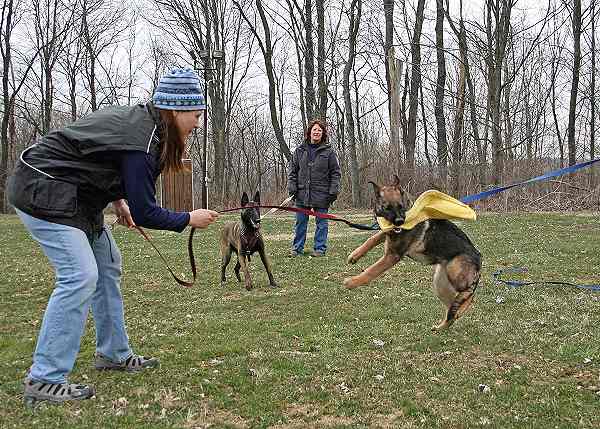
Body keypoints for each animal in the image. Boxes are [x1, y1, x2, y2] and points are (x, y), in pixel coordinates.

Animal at [344, 176, 480, 330]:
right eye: (387, 208)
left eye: (400, 206)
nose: (399, 222)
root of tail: (479, 257)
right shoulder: (388, 233)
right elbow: (372, 239)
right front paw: (354, 255)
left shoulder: (392, 256)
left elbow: (371, 271)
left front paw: (352, 282)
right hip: (440, 284)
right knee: (453, 306)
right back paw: (442, 326)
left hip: (454, 272)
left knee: (469, 296)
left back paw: (460, 310)